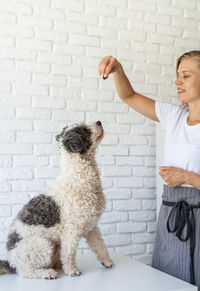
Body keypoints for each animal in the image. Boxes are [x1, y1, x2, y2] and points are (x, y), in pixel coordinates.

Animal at [0, 121, 114, 280]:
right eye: (83, 130)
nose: (99, 122)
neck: (78, 176)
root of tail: (10, 260)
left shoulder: (91, 226)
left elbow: (100, 245)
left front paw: (107, 261)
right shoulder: (71, 231)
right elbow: (69, 253)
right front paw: (72, 271)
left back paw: (57, 266)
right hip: (43, 245)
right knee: (25, 271)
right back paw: (47, 273)